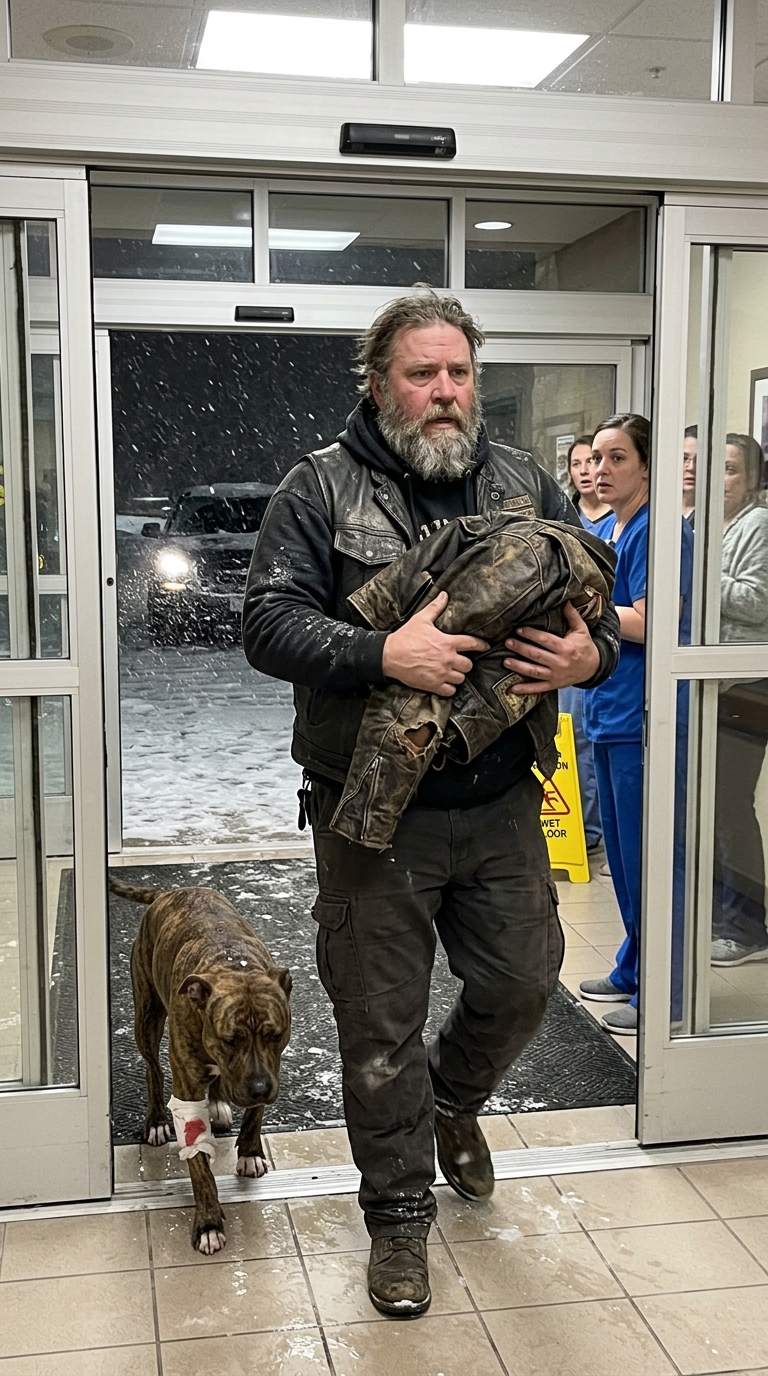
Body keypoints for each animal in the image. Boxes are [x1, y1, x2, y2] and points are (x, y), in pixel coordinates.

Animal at [110, 876, 292, 1254]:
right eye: (230, 1039)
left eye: (275, 1034)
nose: (259, 1089)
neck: (233, 965)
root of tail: (167, 893)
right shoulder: (188, 1090)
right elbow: (198, 1164)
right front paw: (209, 1222)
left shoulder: (271, 1068)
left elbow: (255, 1115)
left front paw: (249, 1151)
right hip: (147, 1016)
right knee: (153, 1069)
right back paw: (156, 1121)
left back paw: (219, 1102)